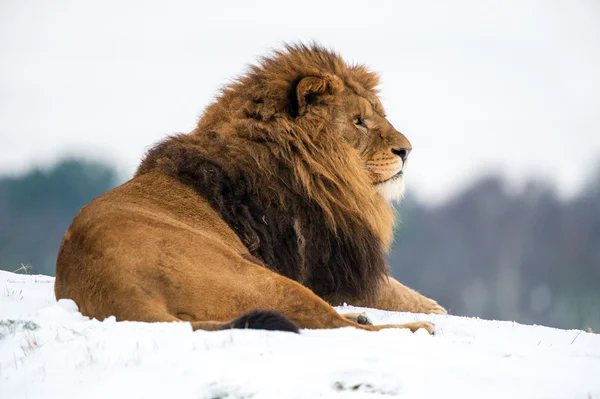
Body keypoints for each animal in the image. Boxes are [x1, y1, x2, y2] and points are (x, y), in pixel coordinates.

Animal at [54, 43, 446, 334]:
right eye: (358, 121)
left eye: (379, 115)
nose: (406, 150)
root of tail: (110, 285)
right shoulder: (320, 263)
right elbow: (395, 293)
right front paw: (431, 311)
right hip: (257, 276)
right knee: (334, 325)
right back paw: (414, 328)